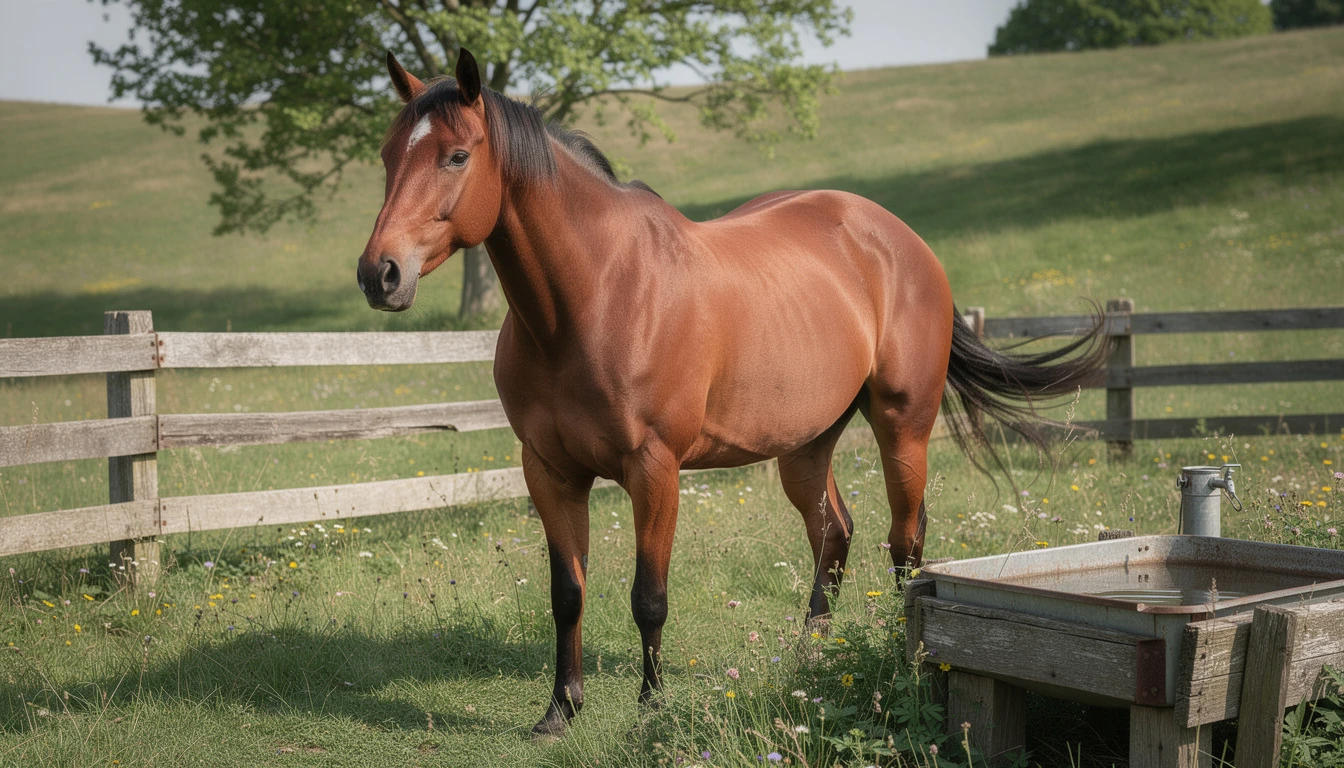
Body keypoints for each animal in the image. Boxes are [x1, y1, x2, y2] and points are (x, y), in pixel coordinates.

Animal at [358, 49, 1108, 738]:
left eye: (457, 156)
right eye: (389, 156)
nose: (379, 274)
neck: (597, 295)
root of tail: (900, 240)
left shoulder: (654, 469)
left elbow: (649, 596)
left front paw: (650, 709)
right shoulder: (548, 470)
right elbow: (567, 593)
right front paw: (559, 711)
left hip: (904, 427)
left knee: (906, 542)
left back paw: (902, 657)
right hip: (806, 444)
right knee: (833, 535)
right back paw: (809, 659)